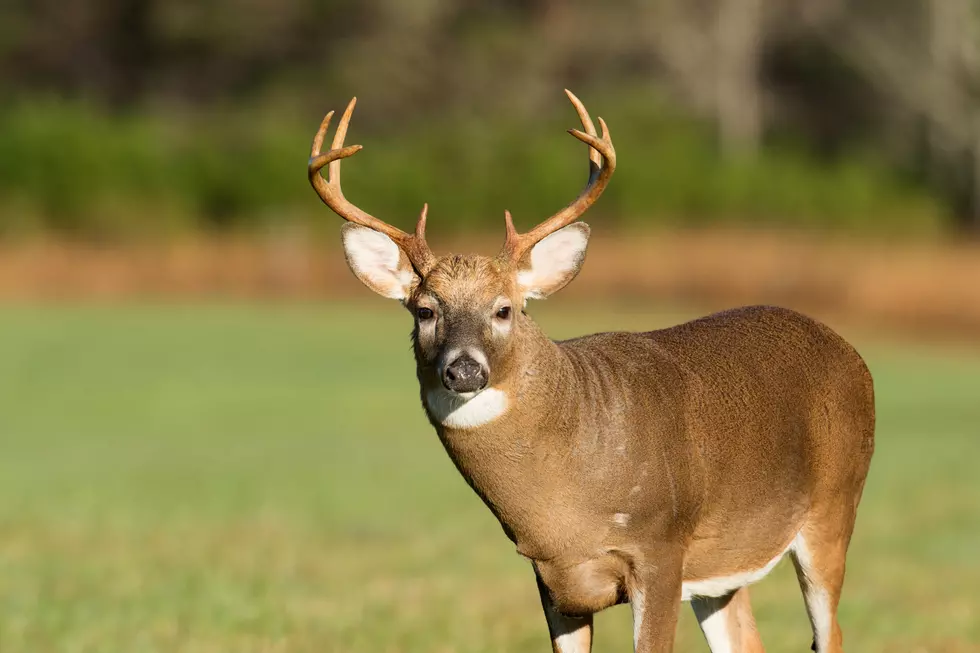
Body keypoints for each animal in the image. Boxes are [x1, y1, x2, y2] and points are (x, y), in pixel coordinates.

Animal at [307, 91, 875, 653]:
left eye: (505, 309)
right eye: (425, 311)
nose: (464, 370)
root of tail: (852, 354)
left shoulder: (660, 546)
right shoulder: (551, 575)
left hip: (834, 506)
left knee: (831, 632)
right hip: (726, 559)